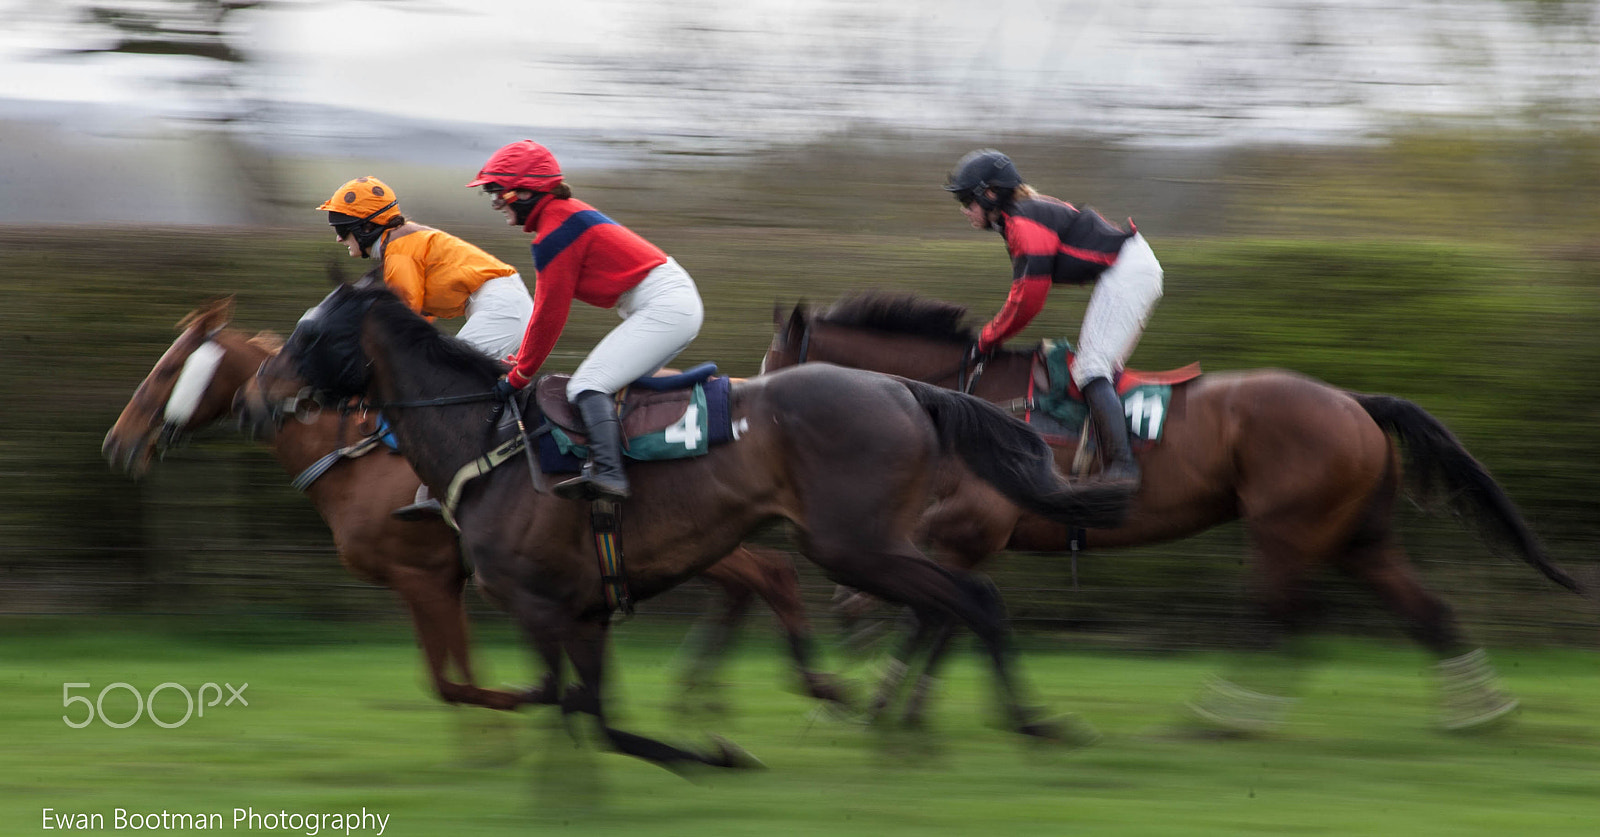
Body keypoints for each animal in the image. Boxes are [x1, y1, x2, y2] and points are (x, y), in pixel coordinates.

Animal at [103, 296, 851, 713]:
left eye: (166, 371)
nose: (118, 443)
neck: (347, 452)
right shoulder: (441, 579)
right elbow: (453, 674)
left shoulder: (426, 574)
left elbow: (455, 678)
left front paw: (513, 722)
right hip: (692, 536)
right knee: (759, 576)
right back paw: (711, 693)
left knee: (768, 574)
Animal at [243, 281, 1126, 774]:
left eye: (309, 334)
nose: (256, 398)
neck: (485, 441)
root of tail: (907, 389)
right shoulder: (577, 609)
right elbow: (576, 705)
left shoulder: (537, 602)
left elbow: (568, 704)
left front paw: (712, 752)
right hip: (869, 545)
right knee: (952, 603)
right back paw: (898, 720)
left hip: (855, 543)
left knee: (966, 601)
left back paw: (1013, 724)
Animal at [764, 294, 1587, 732]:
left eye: (775, 364)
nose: (754, 421)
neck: (952, 399)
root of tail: (1354, 401)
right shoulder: (965, 539)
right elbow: (942, 615)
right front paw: (877, 696)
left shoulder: (968, 528)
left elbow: (929, 610)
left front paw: (866, 690)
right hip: (1358, 536)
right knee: (1425, 612)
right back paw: (1478, 711)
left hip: (1285, 528)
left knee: (1280, 616)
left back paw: (1224, 715)